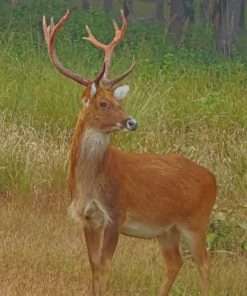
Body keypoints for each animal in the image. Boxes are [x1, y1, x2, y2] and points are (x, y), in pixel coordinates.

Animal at [43, 9, 217, 296]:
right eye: (104, 103)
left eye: (119, 101)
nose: (132, 122)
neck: (92, 183)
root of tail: (214, 179)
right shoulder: (89, 218)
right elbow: (93, 266)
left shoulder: (116, 213)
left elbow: (104, 266)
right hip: (166, 229)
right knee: (175, 262)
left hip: (196, 220)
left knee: (204, 263)